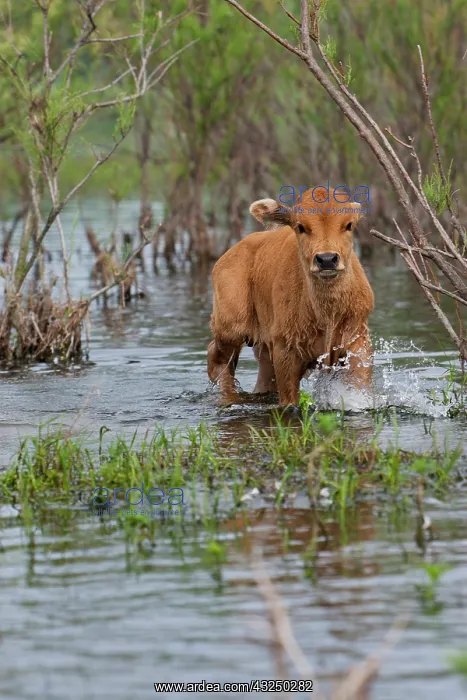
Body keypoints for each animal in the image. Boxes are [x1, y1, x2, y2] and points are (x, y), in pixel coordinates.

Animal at [207, 187, 374, 405]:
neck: (326, 315)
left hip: (262, 348)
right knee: (218, 359)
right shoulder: (285, 350)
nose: (326, 259)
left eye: (348, 225)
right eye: (300, 226)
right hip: (231, 329)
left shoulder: (358, 340)